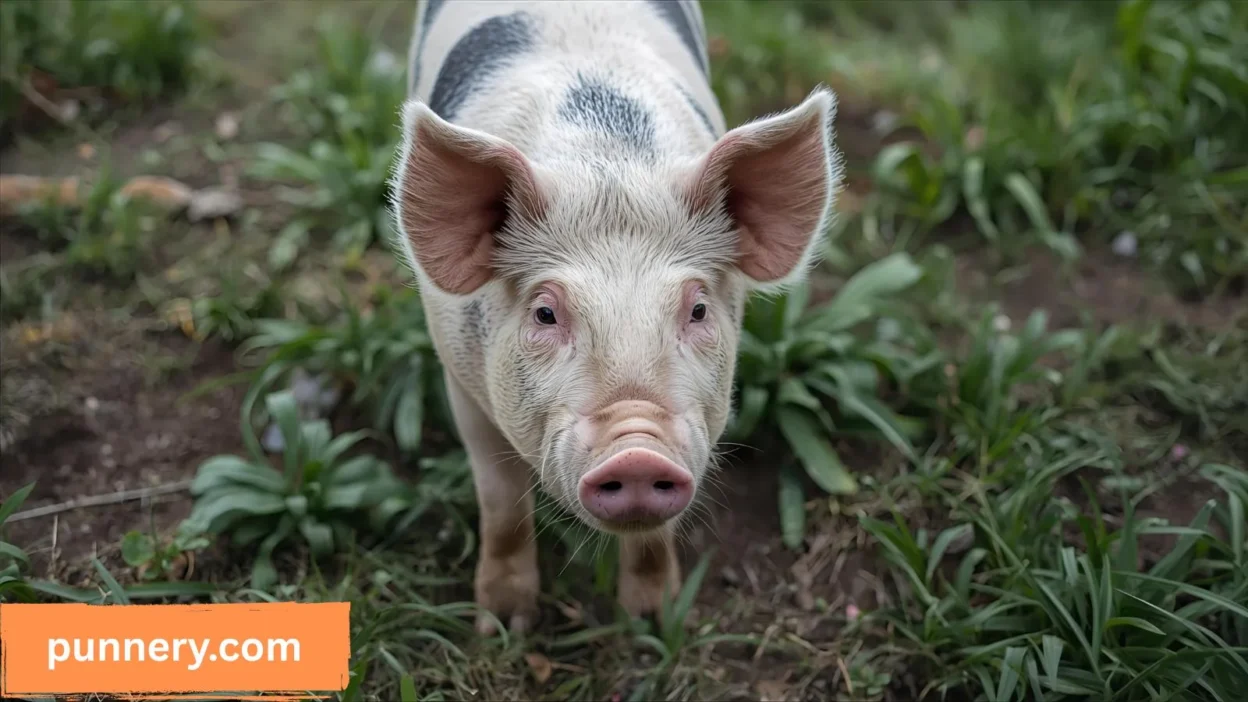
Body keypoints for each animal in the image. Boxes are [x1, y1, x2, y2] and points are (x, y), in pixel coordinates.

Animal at [391, 0, 842, 633]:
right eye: (545, 313)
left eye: (697, 308)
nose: (636, 451)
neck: (606, 162)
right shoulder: (458, 370)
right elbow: (501, 503)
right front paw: (502, 625)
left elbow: (653, 538)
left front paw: (653, 622)